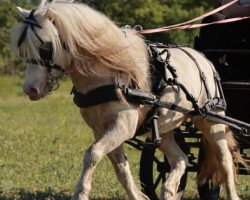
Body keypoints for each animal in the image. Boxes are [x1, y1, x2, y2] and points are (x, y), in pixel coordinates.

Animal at [11, 0, 244, 200]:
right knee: (180, 159)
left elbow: (93, 154)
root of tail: (205, 59)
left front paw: (80, 193)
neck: (108, 72)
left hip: (211, 120)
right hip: (164, 130)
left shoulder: (123, 125)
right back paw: (168, 190)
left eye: (45, 47)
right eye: (23, 49)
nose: (30, 90)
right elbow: (121, 169)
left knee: (224, 160)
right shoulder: (101, 129)